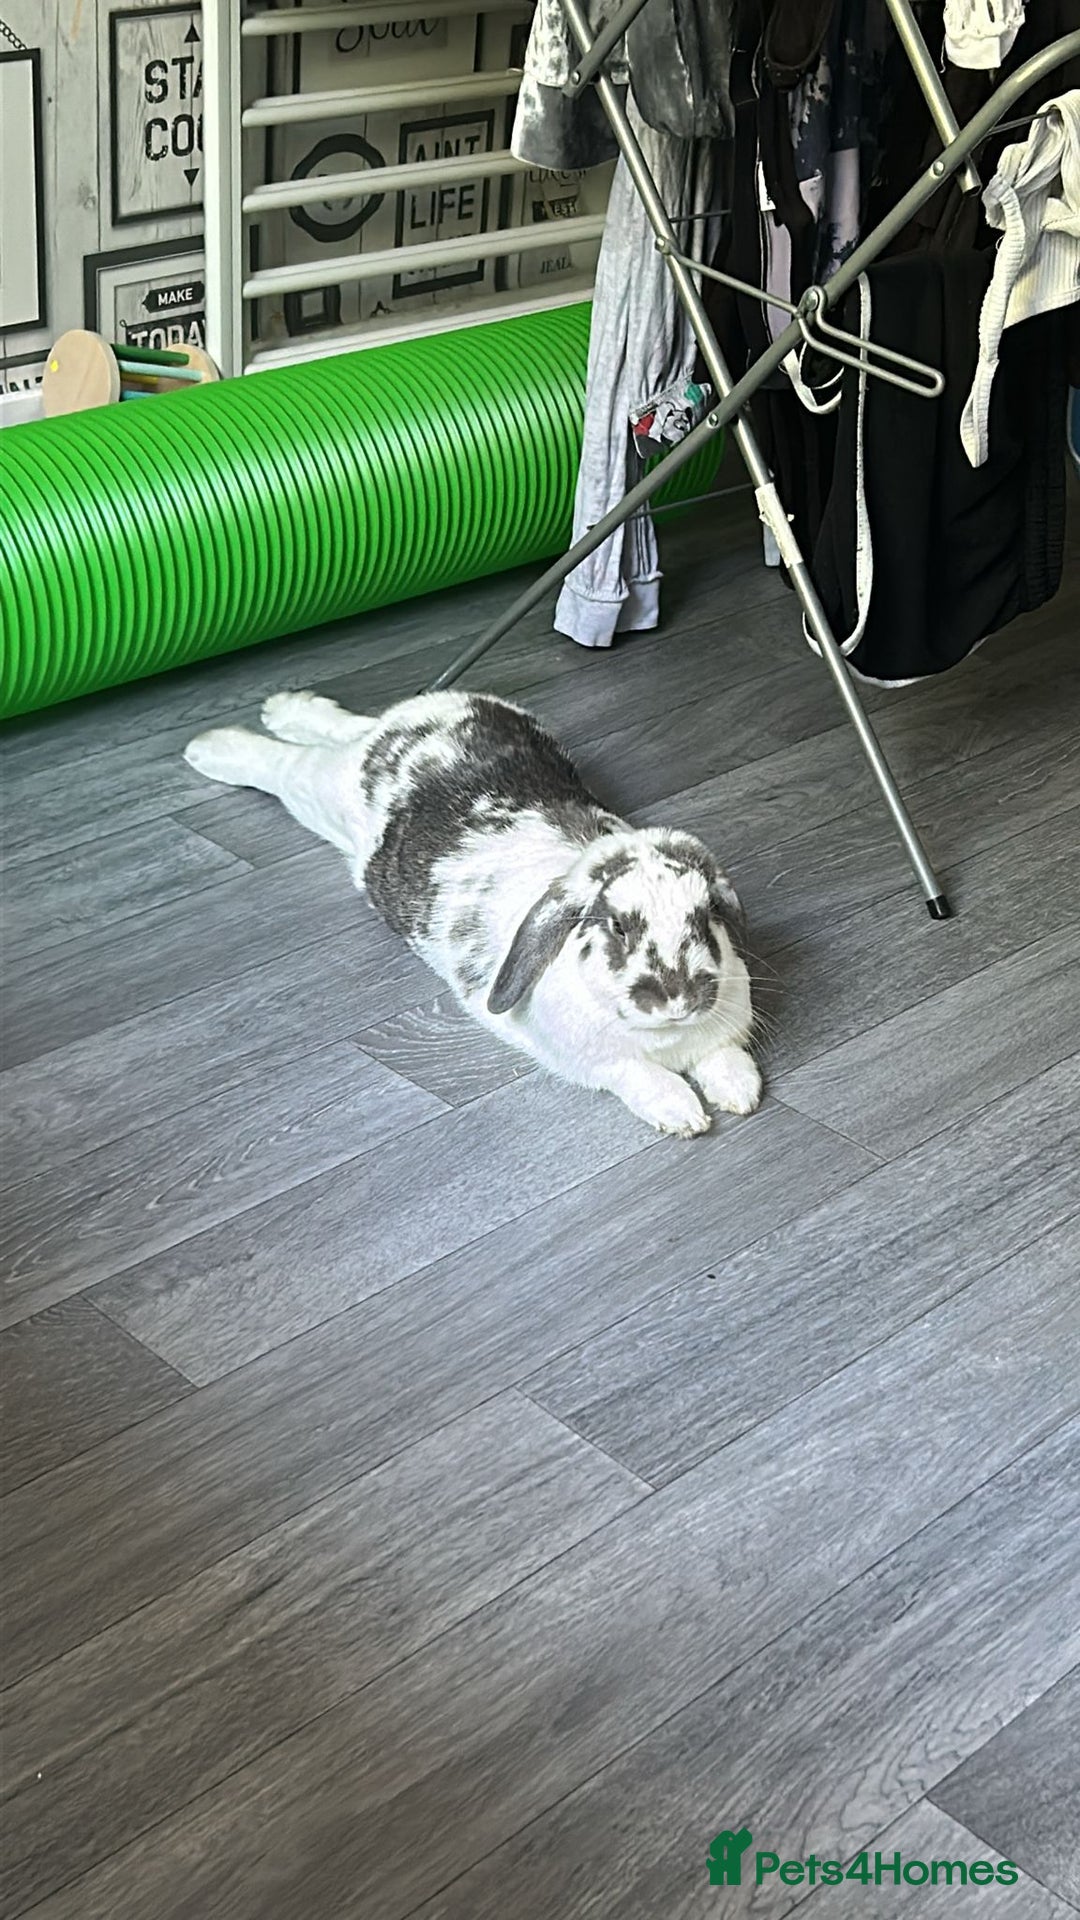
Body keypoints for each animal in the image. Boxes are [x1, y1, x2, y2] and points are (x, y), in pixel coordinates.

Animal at [183, 689, 761, 1137]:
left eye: (706, 916)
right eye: (617, 926)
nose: (677, 999)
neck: (667, 1036)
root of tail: (424, 718)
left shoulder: (721, 1031)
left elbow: (726, 1056)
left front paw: (741, 1092)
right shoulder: (600, 1062)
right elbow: (640, 1076)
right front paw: (683, 1114)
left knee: (344, 724)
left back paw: (284, 705)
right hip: (324, 794)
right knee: (285, 766)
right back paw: (209, 746)